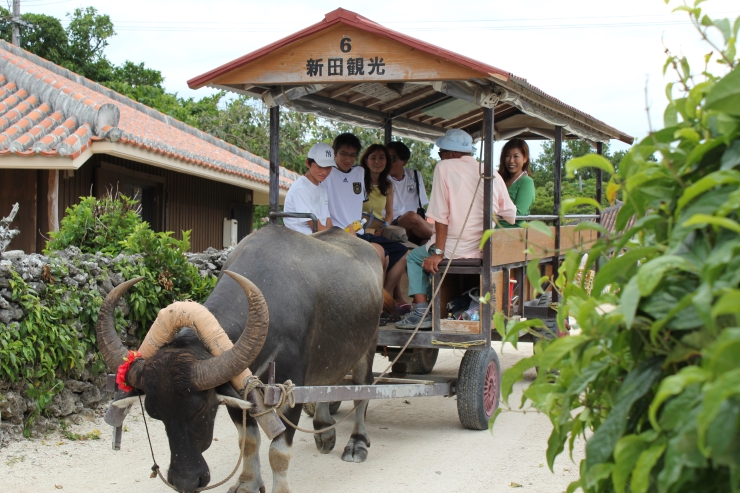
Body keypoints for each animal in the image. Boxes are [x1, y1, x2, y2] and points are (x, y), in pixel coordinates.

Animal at [96, 227, 384, 492]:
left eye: (199, 408)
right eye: (155, 414)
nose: (185, 481)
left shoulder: (289, 390)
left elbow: (278, 452)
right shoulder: (237, 389)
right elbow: (249, 442)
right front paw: (247, 483)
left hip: (367, 345)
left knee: (361, 391)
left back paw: (357, 442)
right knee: (327, 382)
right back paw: (324, 429)